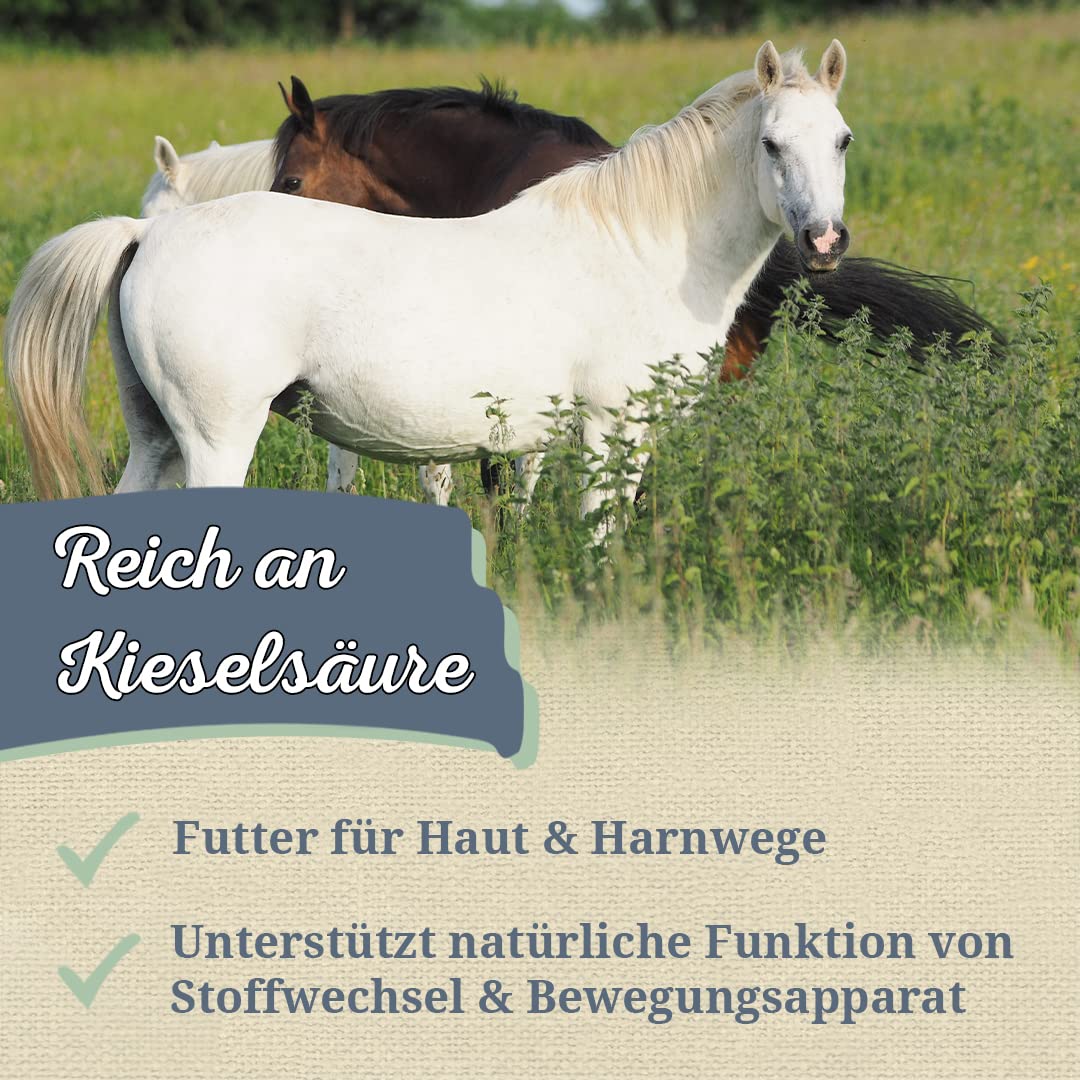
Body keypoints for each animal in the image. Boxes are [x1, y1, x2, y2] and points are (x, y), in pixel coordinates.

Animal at [5, 41, 857, 522]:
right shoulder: (606, 427)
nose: (823, 240)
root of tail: (148, 232)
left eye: (843, 140)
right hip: (218, 443)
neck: (640, 245)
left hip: (157, 440)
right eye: (773, 144)